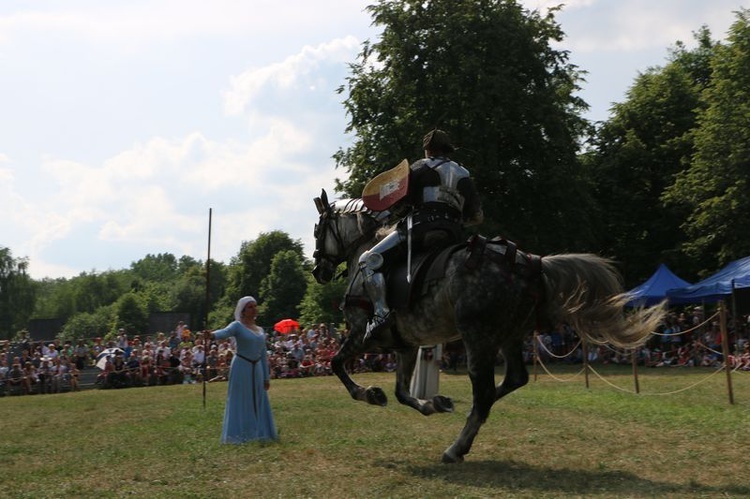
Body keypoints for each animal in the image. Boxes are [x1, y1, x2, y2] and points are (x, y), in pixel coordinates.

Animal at [314, 191, 668, 464]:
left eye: (318, 229)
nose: (318, 270)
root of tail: (531, 264)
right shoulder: (407, 346)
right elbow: (402, 393)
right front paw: (429, 404)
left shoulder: (362, 334)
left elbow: (337, 364)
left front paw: (370, 394)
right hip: (509, 337)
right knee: (512, 380)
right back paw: (456, 413)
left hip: (478, 339)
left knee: (483, 393)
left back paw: (456, 447)